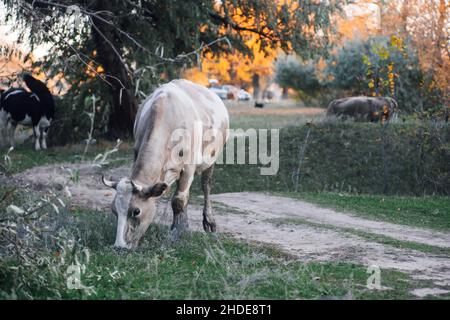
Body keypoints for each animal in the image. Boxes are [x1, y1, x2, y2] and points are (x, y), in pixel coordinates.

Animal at [102, 79, 229, 249]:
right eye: (114, 210)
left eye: (136, 211)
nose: (119, 246)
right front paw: (180, 228)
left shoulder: (188, 168)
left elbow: (178, 201)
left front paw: (176, 233)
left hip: (211, 160)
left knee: (206, 186)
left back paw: (209, 221)